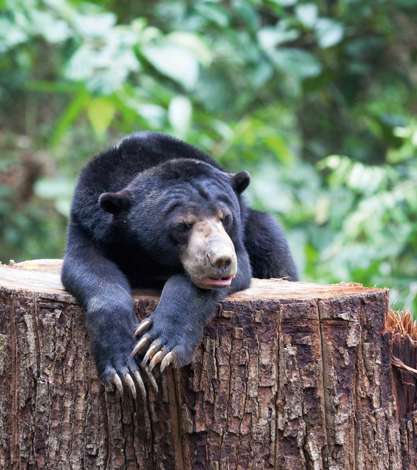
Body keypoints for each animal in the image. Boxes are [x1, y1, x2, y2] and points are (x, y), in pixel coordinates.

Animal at [61, 130, 296, 398]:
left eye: (225, 217)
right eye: (183, 225)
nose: (221, 260)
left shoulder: (238, 244)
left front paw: (160, 345)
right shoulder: (87, 221)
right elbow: (88, 267)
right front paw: (125, 369)